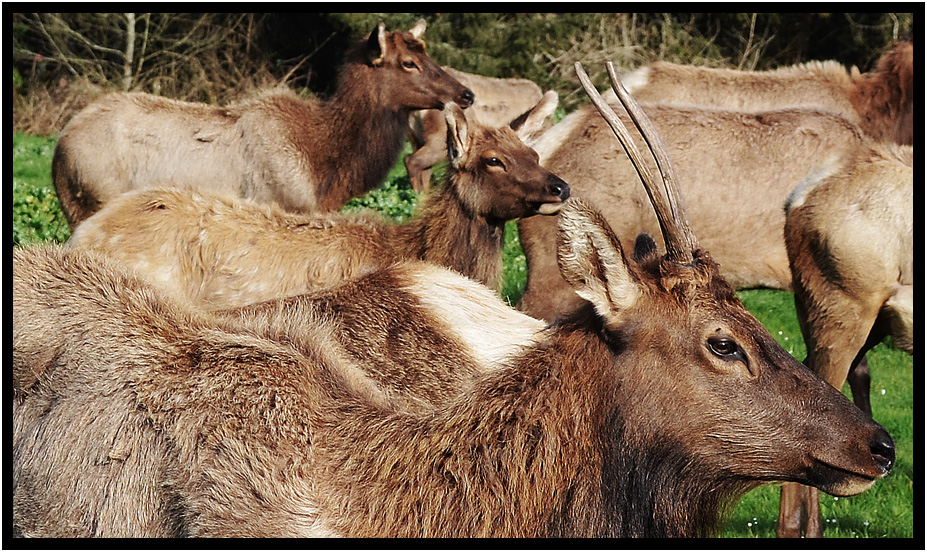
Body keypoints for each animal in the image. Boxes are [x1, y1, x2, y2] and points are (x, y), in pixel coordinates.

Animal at [52, 20, 475, 229]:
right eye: (409, 63)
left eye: (427, 54)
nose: (466, 93)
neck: (326, 167)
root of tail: (58, 147)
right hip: (91, 201)